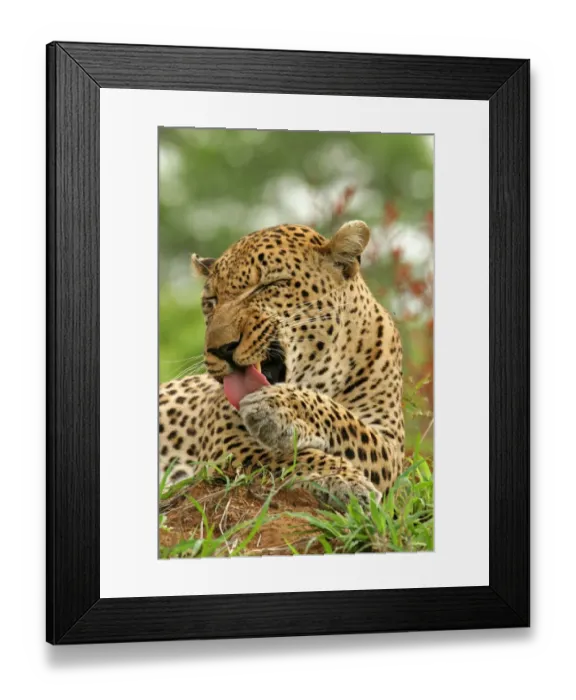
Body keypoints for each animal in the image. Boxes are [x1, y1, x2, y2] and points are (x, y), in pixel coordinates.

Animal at [159, 220, 405, 506]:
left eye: (269, 285)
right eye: (211, 301)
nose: (220, 349)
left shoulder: (392, 445)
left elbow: (350, 426)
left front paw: (279, 408)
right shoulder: (227, 439)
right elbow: (288, 457)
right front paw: (344, 478)